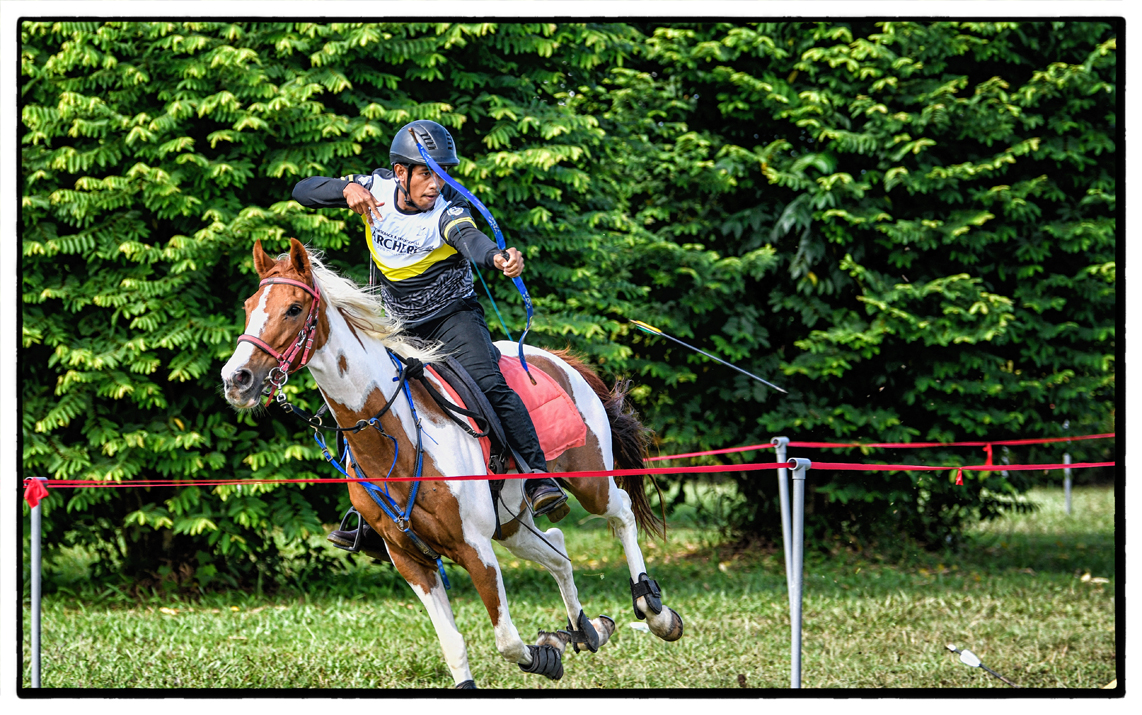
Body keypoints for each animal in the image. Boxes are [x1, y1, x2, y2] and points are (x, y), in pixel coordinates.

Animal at [220, 238, 684, 687]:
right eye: (248, 307)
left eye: (294, 309)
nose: (236, 379)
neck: (397, 438)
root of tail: (556, 359)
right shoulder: (410, 559)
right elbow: (454, 647)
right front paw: (552, 645)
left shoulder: (475, 550)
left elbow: (507, 641)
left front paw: (546, 656)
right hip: (512, 526)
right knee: (559, 551)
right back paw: (587, 630)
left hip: (590, 484)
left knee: (622, 513)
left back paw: (655, 611)